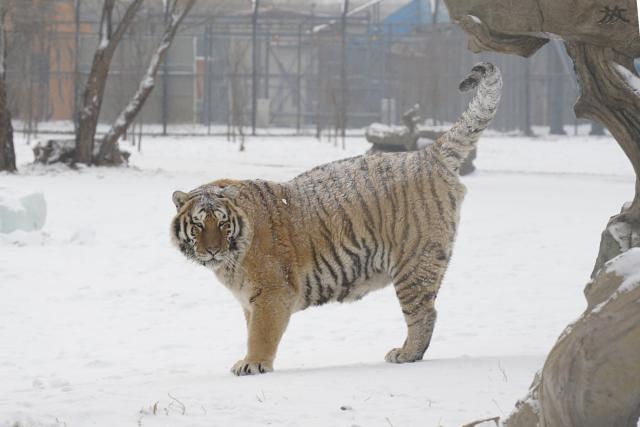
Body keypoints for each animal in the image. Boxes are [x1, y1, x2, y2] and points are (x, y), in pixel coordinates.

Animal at [171, 62, 502, 376]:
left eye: (222, 223)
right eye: (198, 224)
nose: (212, 250)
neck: (231, 258)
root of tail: (427, 154)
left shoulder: (271, 293)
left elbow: (260, 334)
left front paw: (253, 364)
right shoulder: (249, 300)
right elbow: (252, 329)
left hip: (414, 263)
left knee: (424, 313)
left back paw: (406, 354)